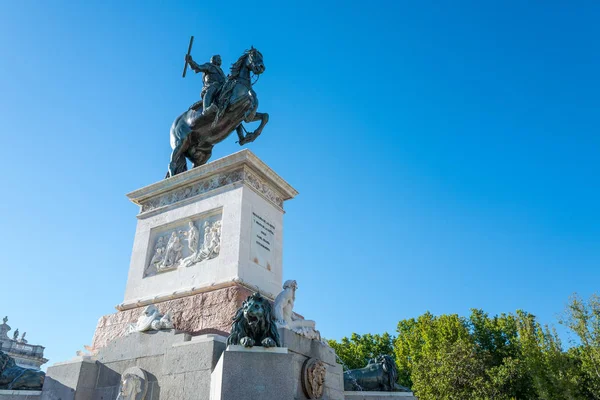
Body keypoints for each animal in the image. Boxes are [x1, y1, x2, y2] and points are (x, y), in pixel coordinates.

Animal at [169, 47, 272, 177]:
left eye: (261, 56)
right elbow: (251, 97)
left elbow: (265, 116)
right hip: (180, 142)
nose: (261, 67)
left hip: (202, 154)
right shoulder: (231, 106)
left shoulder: (241, 112)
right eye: (253, 55)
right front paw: (250, 114)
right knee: (172, 163)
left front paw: (252, 135)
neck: (240, 83)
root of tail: (174, 124)